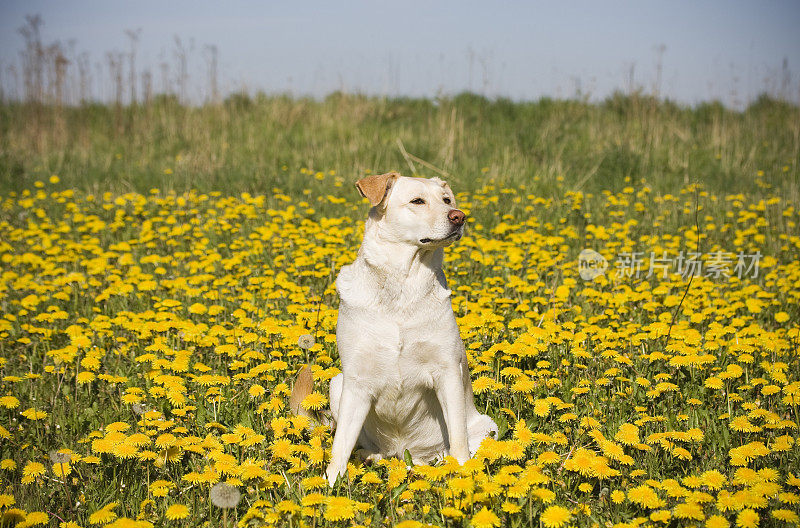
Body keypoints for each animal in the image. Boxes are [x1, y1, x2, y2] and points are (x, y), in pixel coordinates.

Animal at [324, 171, 496, 484]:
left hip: (486, 427)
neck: (402, 285)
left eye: (447, 200)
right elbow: (341, 444)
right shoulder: (356, 380)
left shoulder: (447, 372)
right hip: (336, 383)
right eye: (417, 201)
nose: (459, 216)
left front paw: (462, 477)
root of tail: (409, 455)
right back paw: (369, 458)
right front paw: (329, 484)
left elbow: (458, 439)